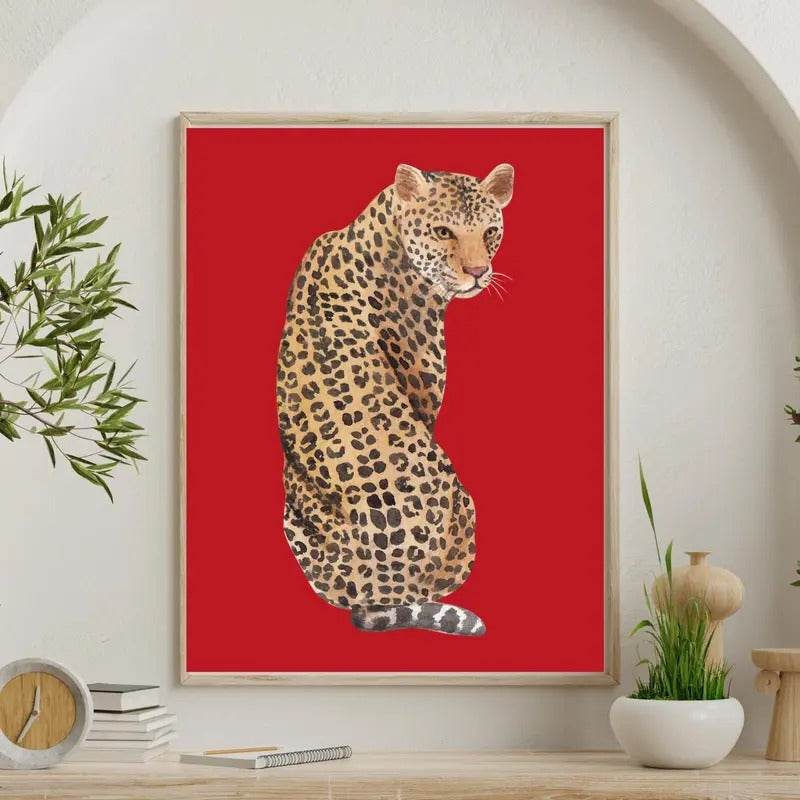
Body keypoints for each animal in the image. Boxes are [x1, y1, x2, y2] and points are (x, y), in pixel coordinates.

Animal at [276, 162, 514, 636]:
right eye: (443, 231)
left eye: (491, 231)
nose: (479, 272)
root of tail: (371, 592)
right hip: (464, 504)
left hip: (289, 509)